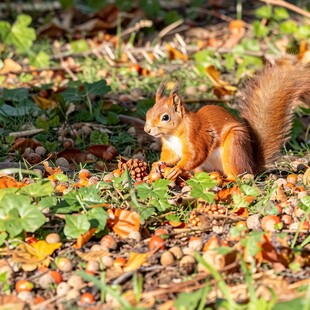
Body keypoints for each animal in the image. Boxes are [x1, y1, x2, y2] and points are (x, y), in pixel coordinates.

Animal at [143, 58, 310, 180]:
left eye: (165, 117)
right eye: (148, 112)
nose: (147, 129)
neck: (173, 135)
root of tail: (251, 165)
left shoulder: (196, 136)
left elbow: (196, 155)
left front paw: (177, 169)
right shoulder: (170, 148)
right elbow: (169, 158)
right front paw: (156, 164)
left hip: (233, 148)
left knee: (238, 177)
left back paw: (226, 180)